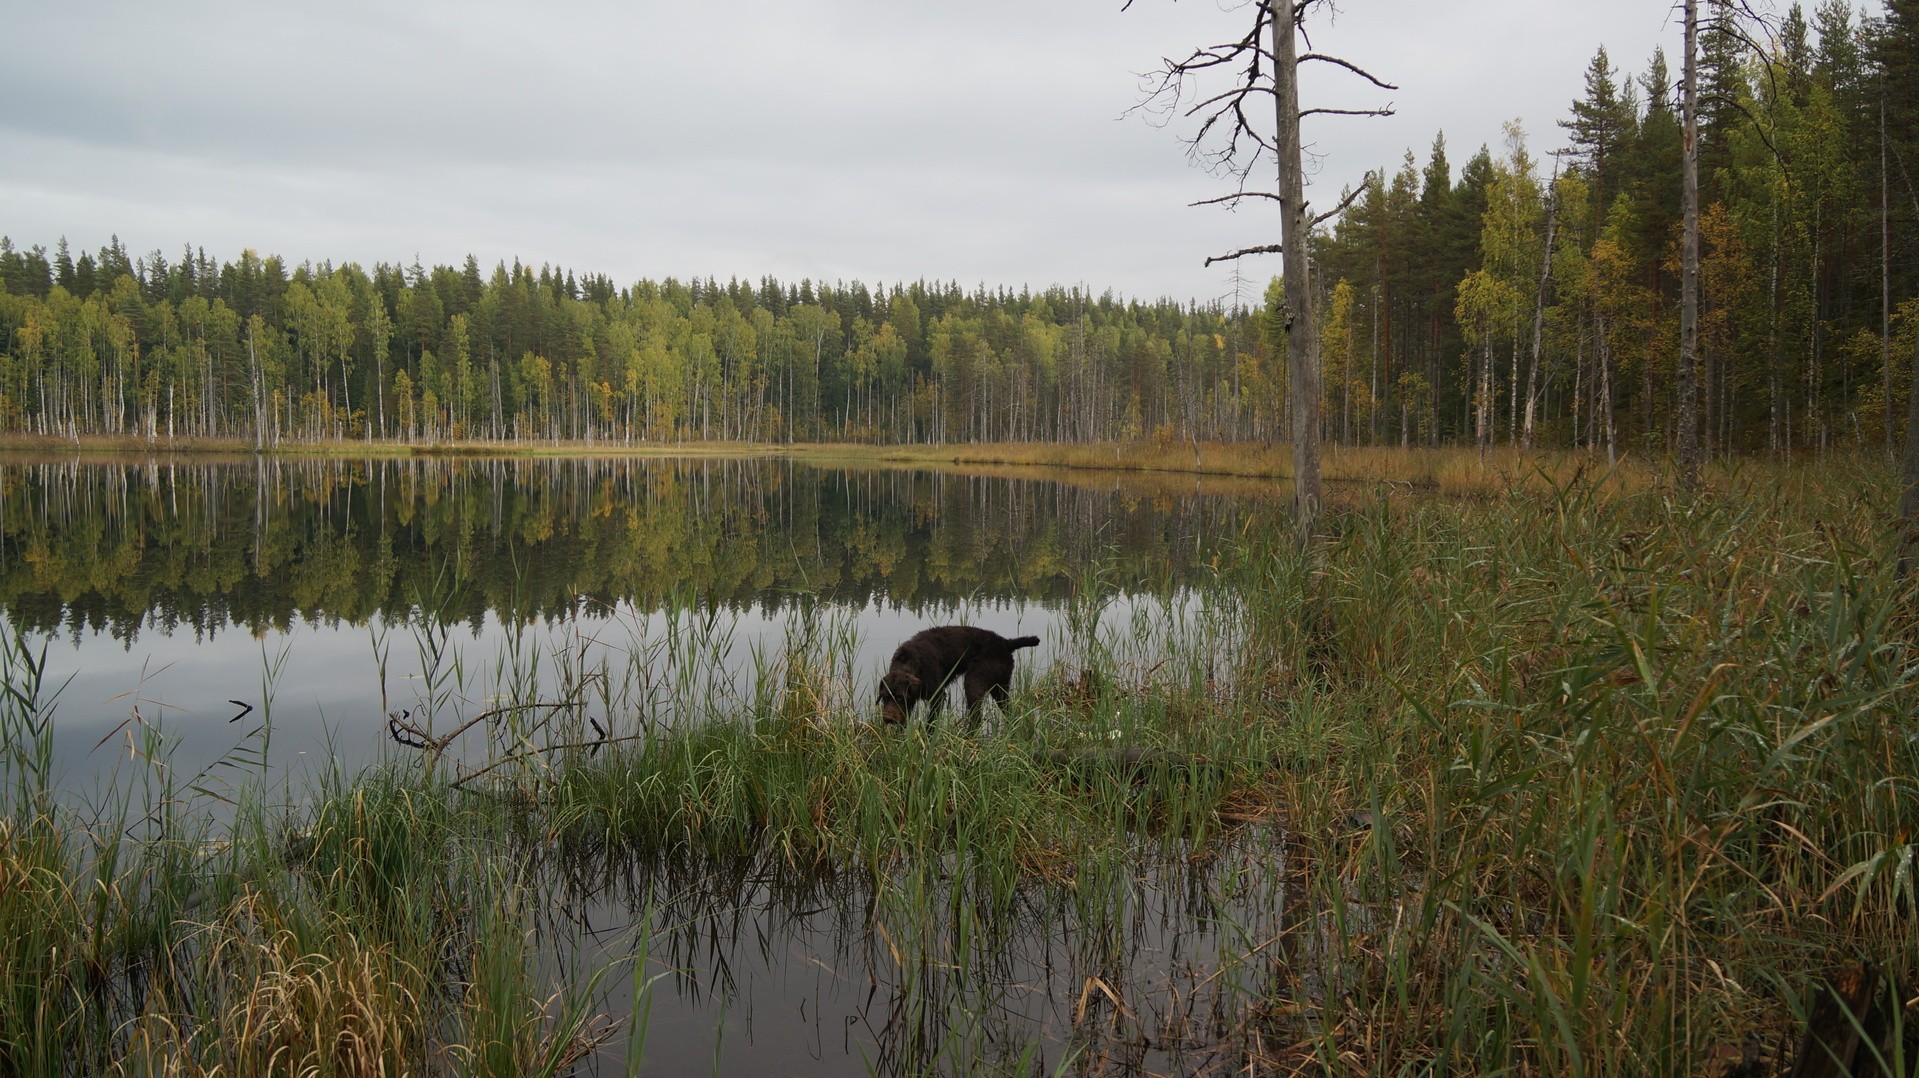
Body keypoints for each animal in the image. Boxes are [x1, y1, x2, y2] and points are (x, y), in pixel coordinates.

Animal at [878, 621, 1043, 721]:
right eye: (884, 697)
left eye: (900, 698)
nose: (888, 719)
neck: (910, 661)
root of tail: (1006, 643)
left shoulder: (938, 697)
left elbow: (931, 723)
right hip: (1000, 687)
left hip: (974, 682)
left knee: (976, 718)